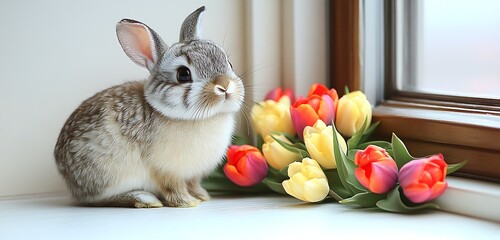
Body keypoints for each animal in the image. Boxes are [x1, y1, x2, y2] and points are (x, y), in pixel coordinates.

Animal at [53, 6, 244, 208]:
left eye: (229, 64)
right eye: (183, 74)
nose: (225, 86)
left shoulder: (192, 175)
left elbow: (193, 184)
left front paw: (202, 196)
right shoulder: (167, 170)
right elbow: (174, 187)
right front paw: (187, 202)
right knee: (98, 200)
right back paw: (145, 199)